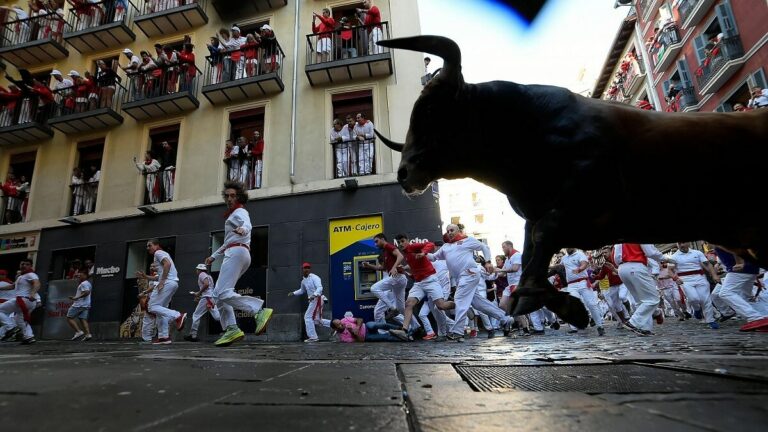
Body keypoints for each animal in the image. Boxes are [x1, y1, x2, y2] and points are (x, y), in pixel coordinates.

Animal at [376, 36, 768, 328]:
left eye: (429, 110)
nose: (404, 173)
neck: (528, 130)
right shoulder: (539, 215)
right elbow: (532, 251)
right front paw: (549, 300)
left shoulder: (588, 197)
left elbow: (542, 239)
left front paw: (548, 300)